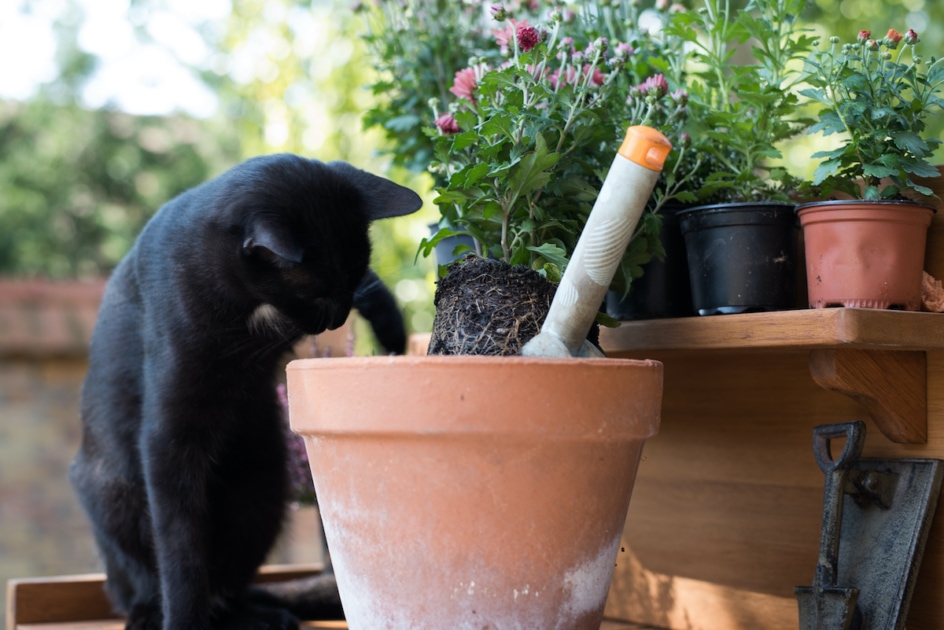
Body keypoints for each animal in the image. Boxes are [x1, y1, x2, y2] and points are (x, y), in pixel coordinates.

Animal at [73, 154, 424, 630]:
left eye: (351, 277)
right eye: (313, 291)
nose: (337, 317)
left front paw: (390, 326)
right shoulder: (169, 434)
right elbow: (179, 547)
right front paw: (183, 620)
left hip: (261, 491)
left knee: (229, 586)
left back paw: (259, 614)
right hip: (115, 494)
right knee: (139, 586)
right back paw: (153, 614)